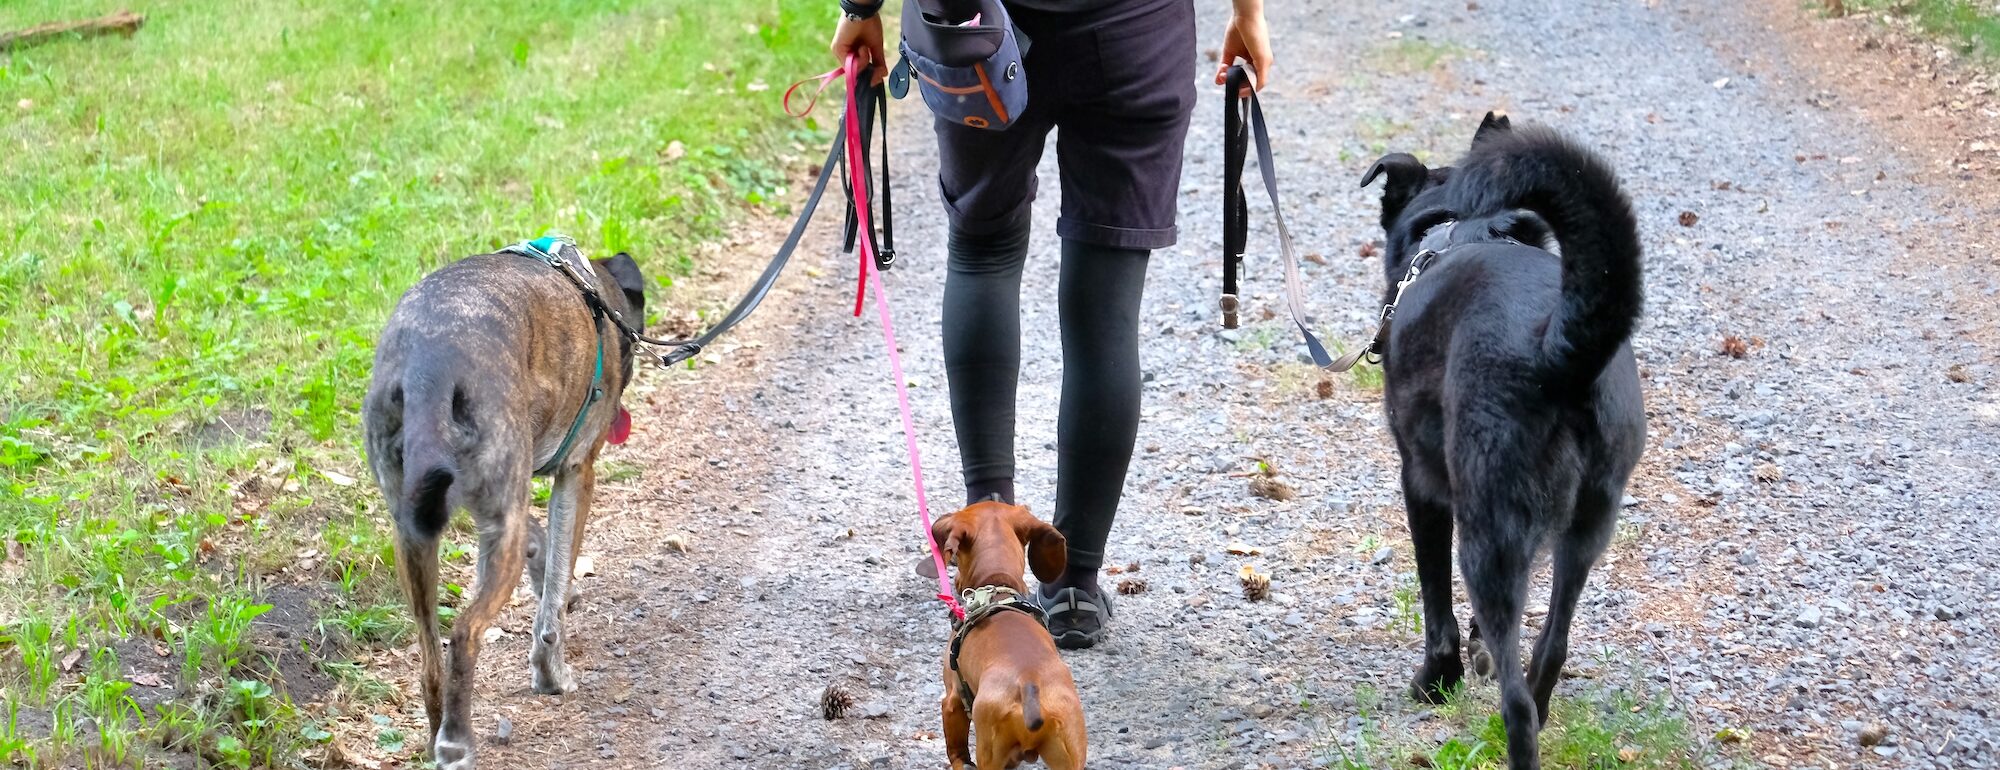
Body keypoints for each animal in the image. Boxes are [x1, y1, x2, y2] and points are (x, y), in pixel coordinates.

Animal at [360, 249, 640, 764]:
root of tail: (430, 368)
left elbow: (546, 554)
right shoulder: (577, 475)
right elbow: (553, 603)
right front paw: (551, 672)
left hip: (412, 534)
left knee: (431, 658)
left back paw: (438, 733)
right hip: (495, 532)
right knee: (465, 634)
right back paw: (456, 742)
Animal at [1368, 115, 1648, 768]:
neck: (1454, 231)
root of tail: (1557, 346)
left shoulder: (1422, 487)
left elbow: (1436, 601)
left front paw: (1437, 680)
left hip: (1489, 532)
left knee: (1515, 703)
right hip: (1587, 528)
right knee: (1550, 645)